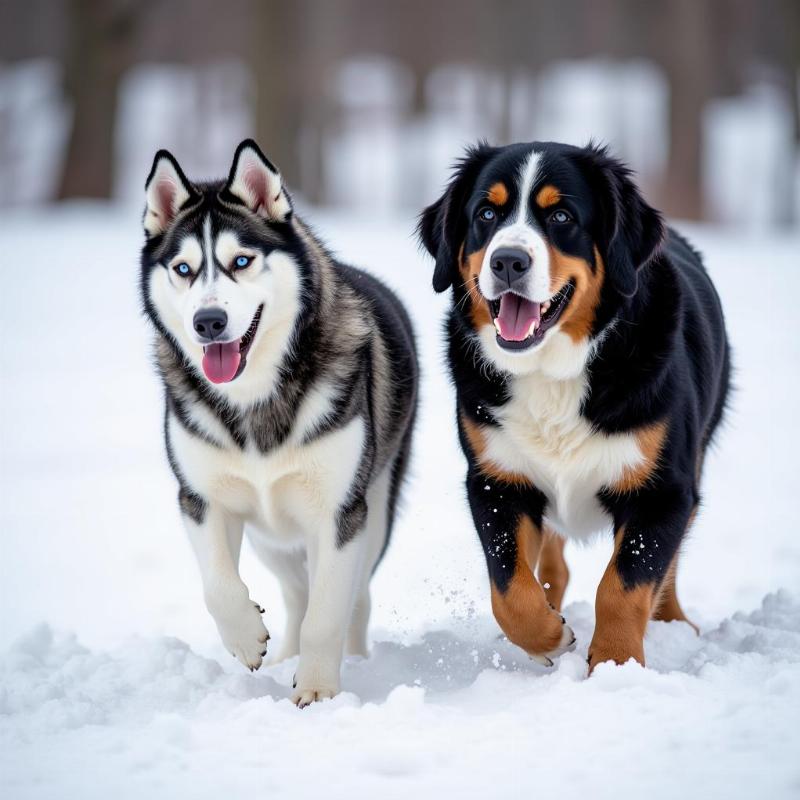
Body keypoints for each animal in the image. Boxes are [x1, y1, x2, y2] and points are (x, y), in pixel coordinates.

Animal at [140, 141, 416, 704]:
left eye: (241, 261)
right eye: (183, 268)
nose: (208, 322)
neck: (254, 401)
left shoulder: (339, 513)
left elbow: (327, 614)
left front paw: (318, 692)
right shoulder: (200, 499)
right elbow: (218, 586)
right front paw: (247, 638)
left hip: (373, 512)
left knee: (354, 596)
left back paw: (353, 661)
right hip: (272, 538)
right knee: (296, 591)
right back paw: (285, 653)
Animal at [418, 142, 732, 668]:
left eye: (561, 216)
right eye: (486, 213)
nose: (507, 261)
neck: (552, 373)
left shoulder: (663, 490)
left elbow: (624, 586)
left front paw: (615, 665)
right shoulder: (497, 481)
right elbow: (508, 588)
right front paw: (548, 636)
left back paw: (674, 625)